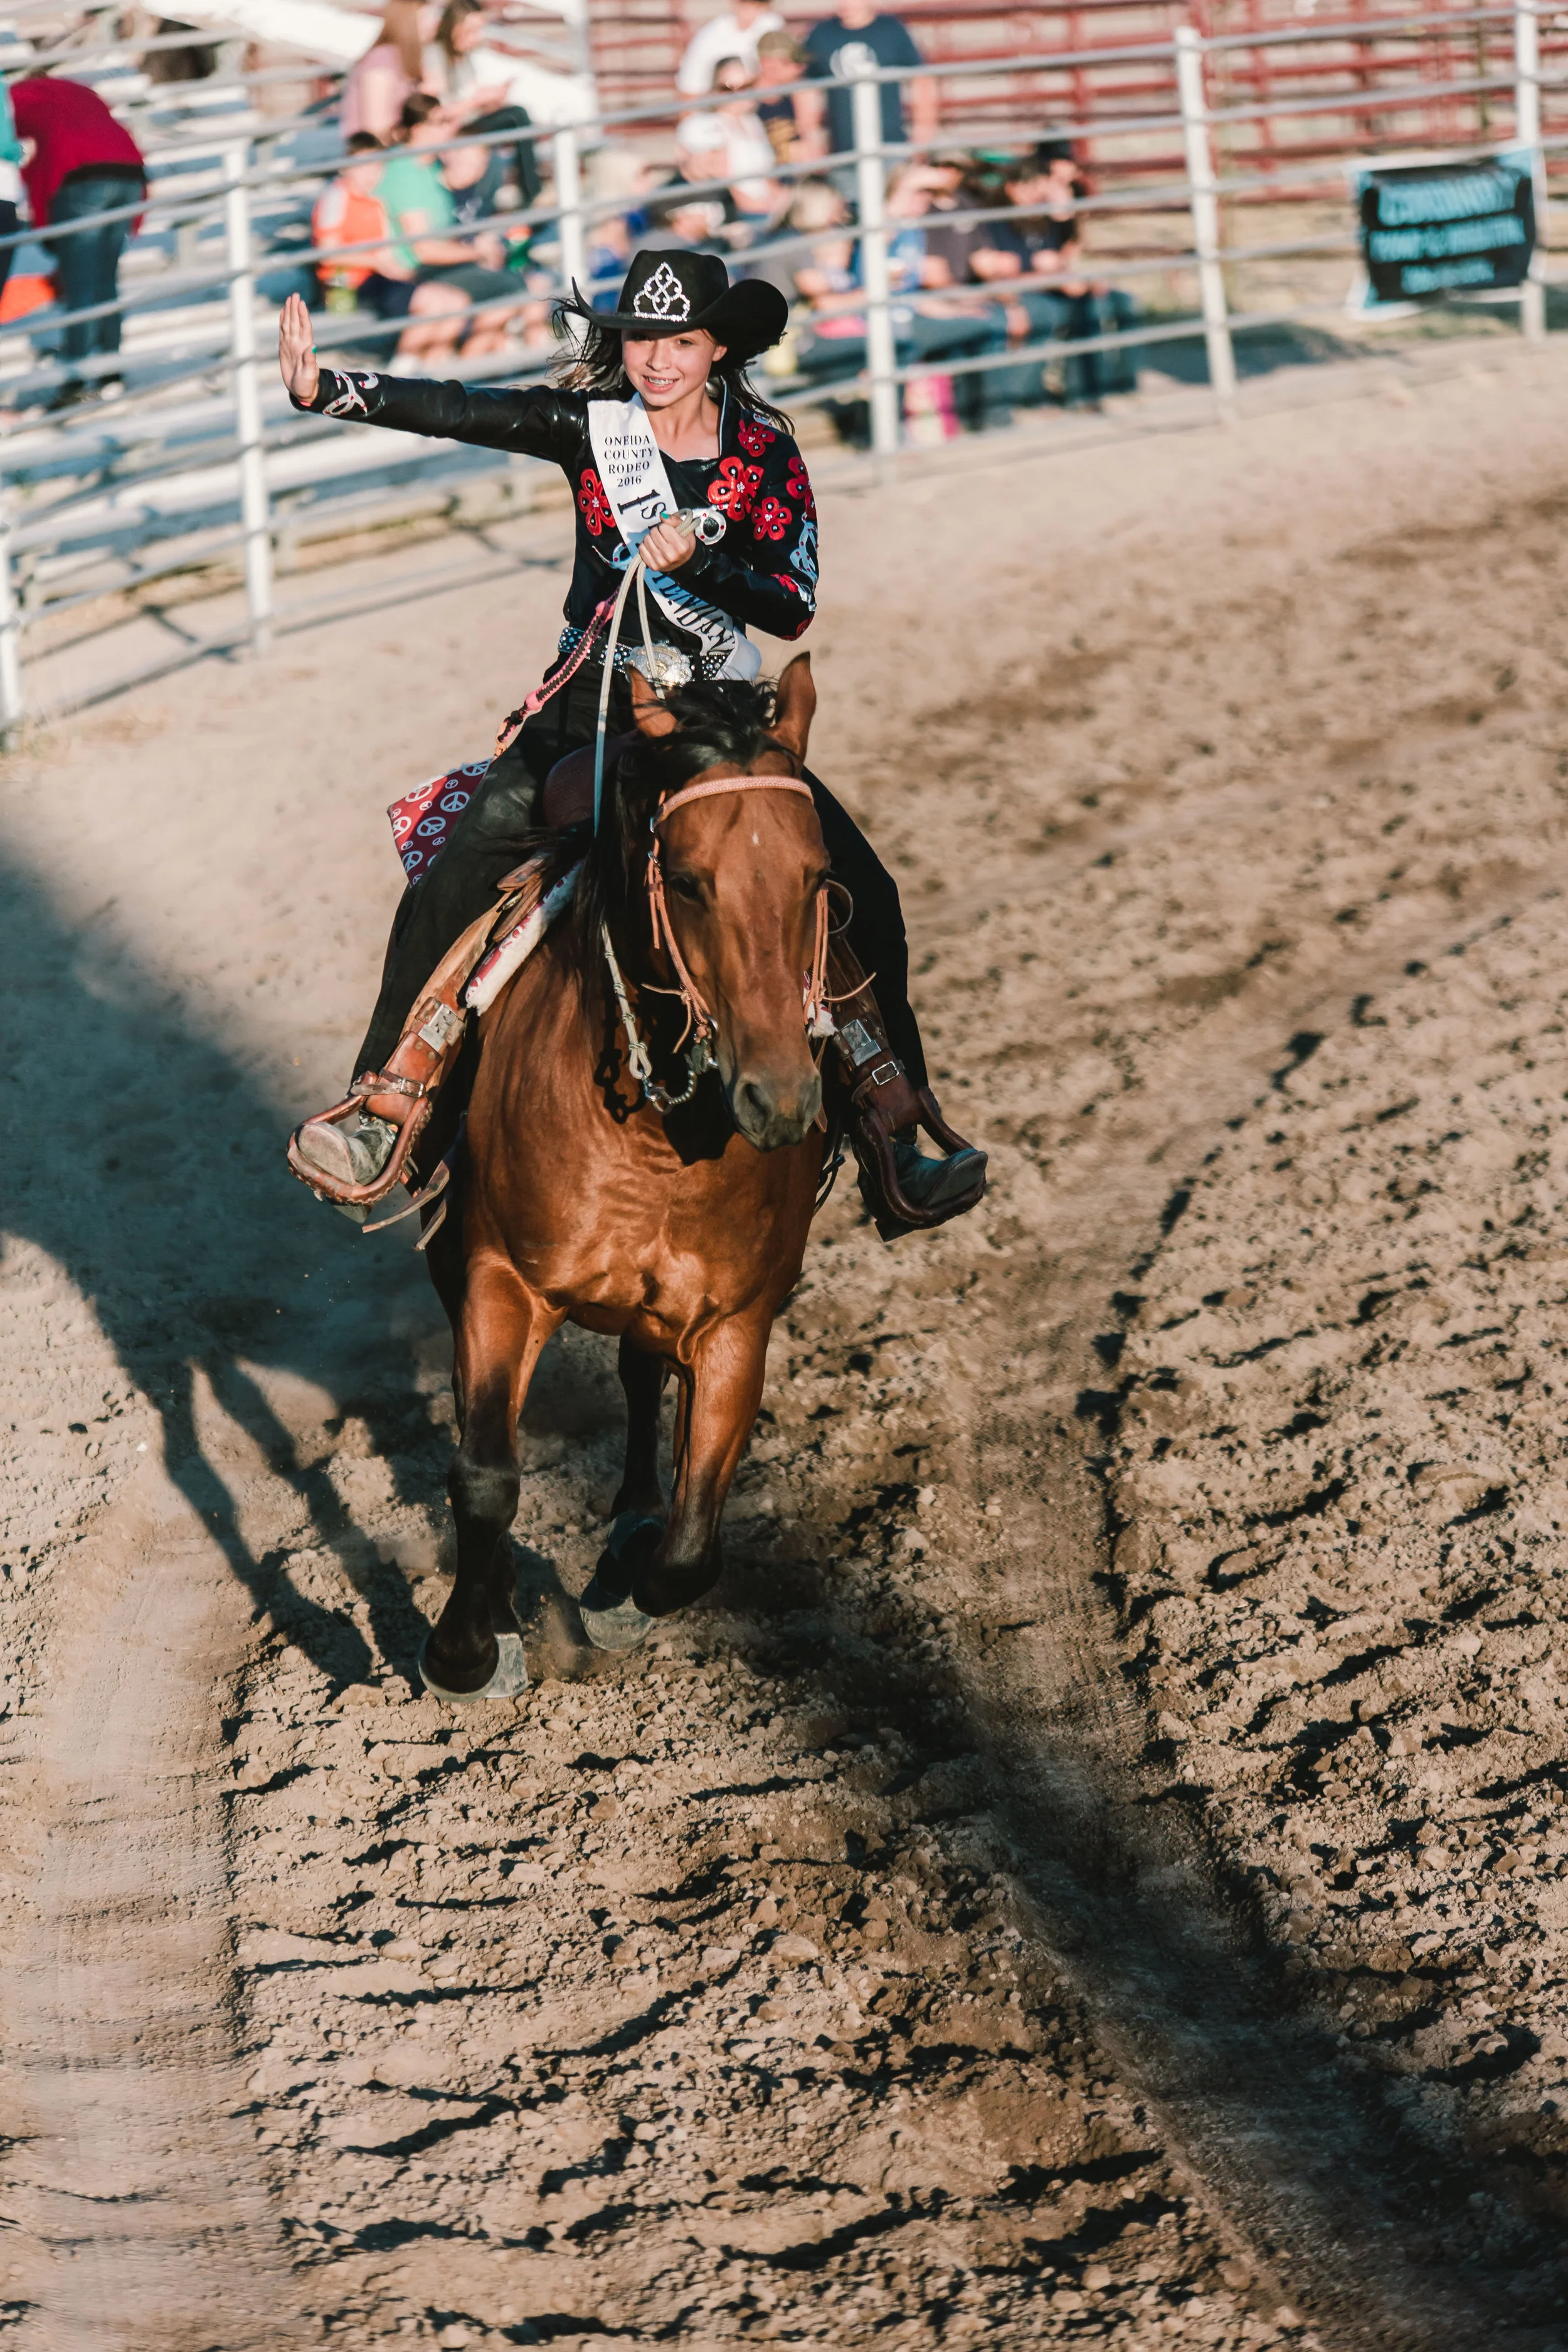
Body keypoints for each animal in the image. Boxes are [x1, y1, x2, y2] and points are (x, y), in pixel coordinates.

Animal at [416, 654, 832, 1703]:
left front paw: (620, 1579)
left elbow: (691, 1545)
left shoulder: (735, 1321)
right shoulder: (502, 1280)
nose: (779, 1098)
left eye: (820, 875)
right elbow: (485, 1473)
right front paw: (467, 1648)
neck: (651, 1139)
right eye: (686, 880)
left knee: (642, 1386)